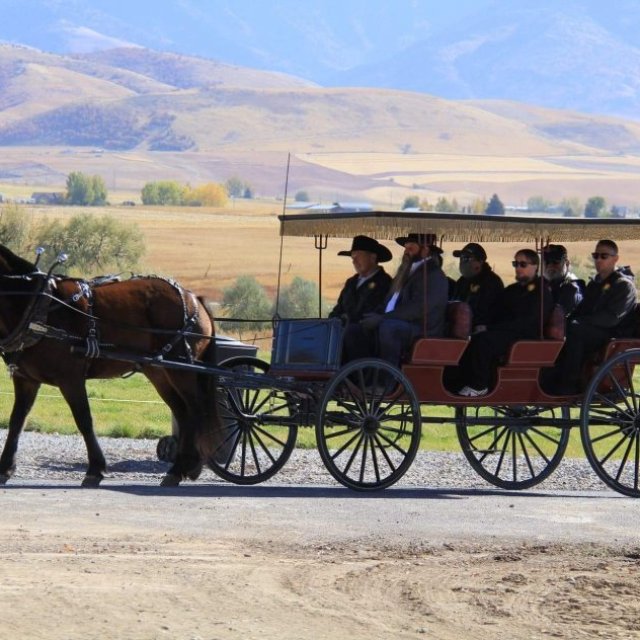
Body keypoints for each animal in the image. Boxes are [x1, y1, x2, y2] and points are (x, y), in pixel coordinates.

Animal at [0, 244, 220, 484]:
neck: (37, 306)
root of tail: (194, 298)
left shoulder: (70, 378)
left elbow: (84, 420)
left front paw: (95, 469)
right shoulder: (25, 380)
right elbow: (16, 421)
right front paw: (6, 468)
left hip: (180, 369)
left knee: (196, 410)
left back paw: (185, 466)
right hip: (159, 372)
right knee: (182, 412)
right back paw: (182, 467)